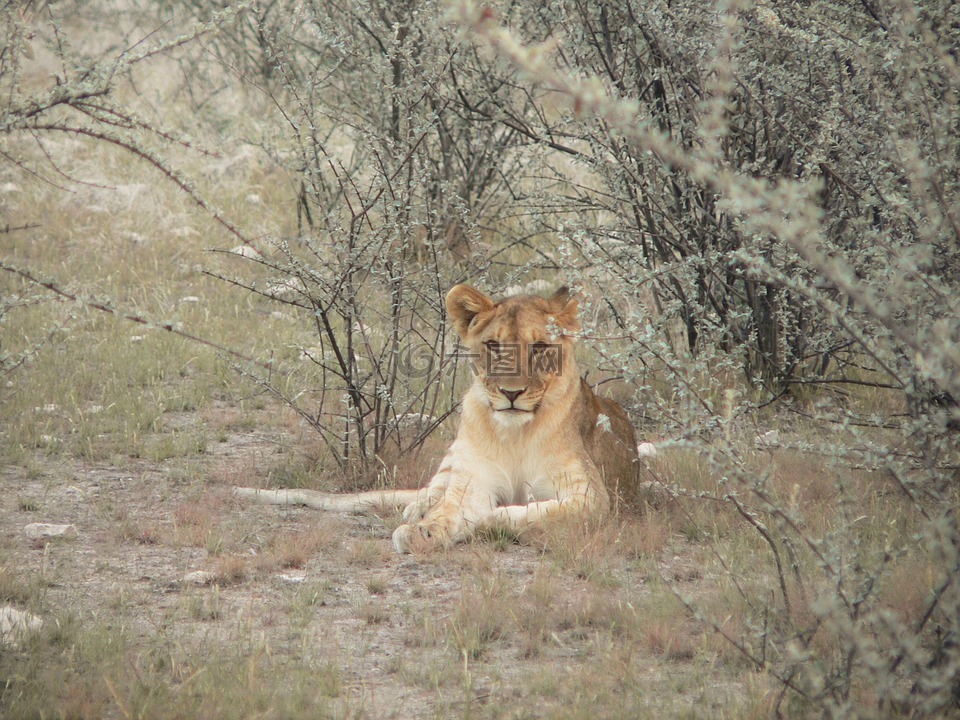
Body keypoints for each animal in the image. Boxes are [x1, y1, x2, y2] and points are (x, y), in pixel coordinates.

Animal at [232, 284, 636, 556]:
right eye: (493, 346)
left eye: (539, 348)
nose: (511, 393)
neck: (515, 434)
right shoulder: (473, 479)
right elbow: (451, 509)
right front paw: (421, 530)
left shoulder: (591, 497)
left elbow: (529, 512)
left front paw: (491, 519)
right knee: (431, 488)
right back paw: (417, 506)